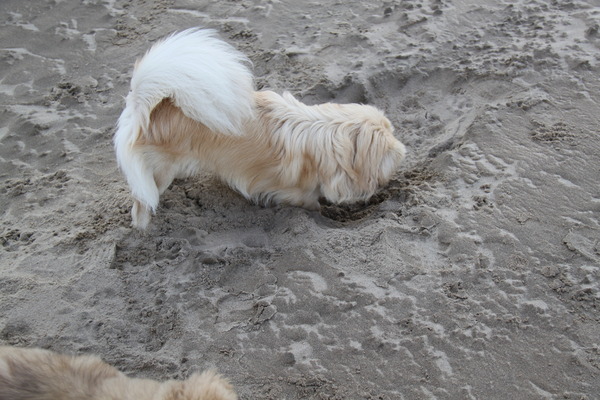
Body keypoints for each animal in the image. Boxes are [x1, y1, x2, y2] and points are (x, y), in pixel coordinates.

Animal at [113, 28, 404, 228]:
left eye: (392, 130)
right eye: (388, 148)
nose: (402, 148)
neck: (322, 133)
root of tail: (145, 105)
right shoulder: (302, 194)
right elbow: (312, 204)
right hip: (158, 172)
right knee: (142, 201)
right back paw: (144, 228)